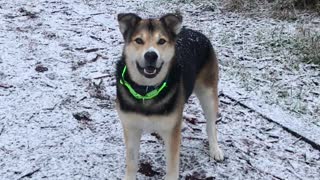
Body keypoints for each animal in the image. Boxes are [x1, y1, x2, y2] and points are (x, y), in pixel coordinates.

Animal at [116, 12, 224, 180]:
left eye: (161, 41)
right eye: (139, 40)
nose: (151, 55)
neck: (147, 91)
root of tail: (196, 32)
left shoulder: (172, 135)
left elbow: (172, 167)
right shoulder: (131, 127)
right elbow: (132, 163)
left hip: (208, 92)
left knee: (211, 124)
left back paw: (215, 149)